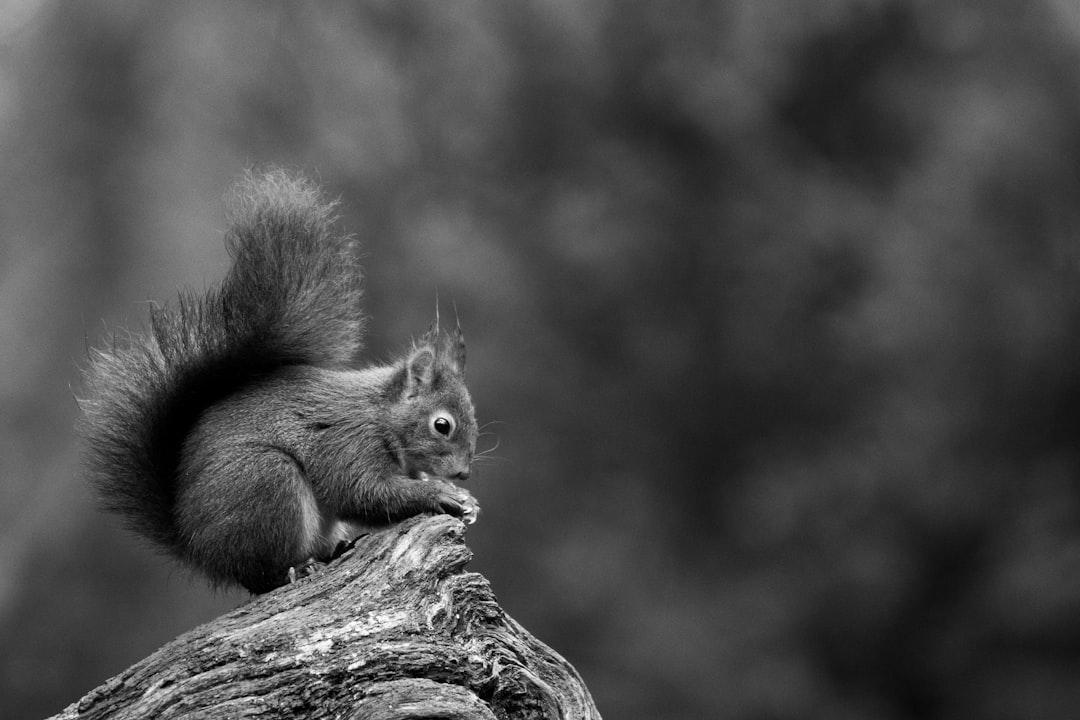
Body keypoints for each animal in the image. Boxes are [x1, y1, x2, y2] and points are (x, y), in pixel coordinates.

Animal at [77, 170, 481, 595]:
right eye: (442, 425)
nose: (463, 473)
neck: (381, 414)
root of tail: (198, 548)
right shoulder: (349, 443)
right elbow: (365, 493)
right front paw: (443, 494)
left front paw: (465, 499)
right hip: (267, 483)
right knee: (263, 574)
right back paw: (298, 569)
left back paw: (333, 550)